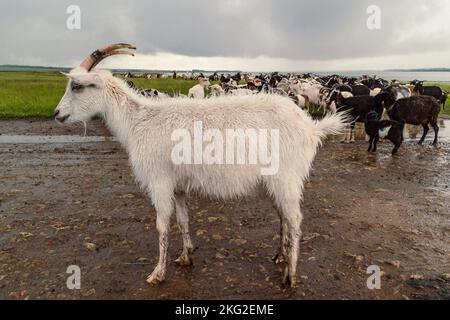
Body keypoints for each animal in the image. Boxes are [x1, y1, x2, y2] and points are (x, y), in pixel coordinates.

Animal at [53, 43, 348, 288]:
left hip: (286, 178)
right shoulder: (179, 185)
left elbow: (161, 226)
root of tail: (311, 127)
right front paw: (186, 256)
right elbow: (183, 220)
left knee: (295, 221)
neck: (138, 120)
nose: (57, 114)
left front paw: (157, 273)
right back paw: (280, 257)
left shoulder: (160, 181)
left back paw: (291, 276)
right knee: (284, 218)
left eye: (76, 86)